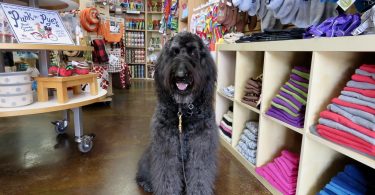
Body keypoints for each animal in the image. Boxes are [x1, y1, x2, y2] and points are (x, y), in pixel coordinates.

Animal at [136, 32, 219, 195]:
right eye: (174, 52)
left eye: (193, 52)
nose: (181, 75)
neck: (183, 110)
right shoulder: (167, 148)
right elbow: (167, 177)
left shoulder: (200, 147)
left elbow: (199, 176)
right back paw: (146, 184)